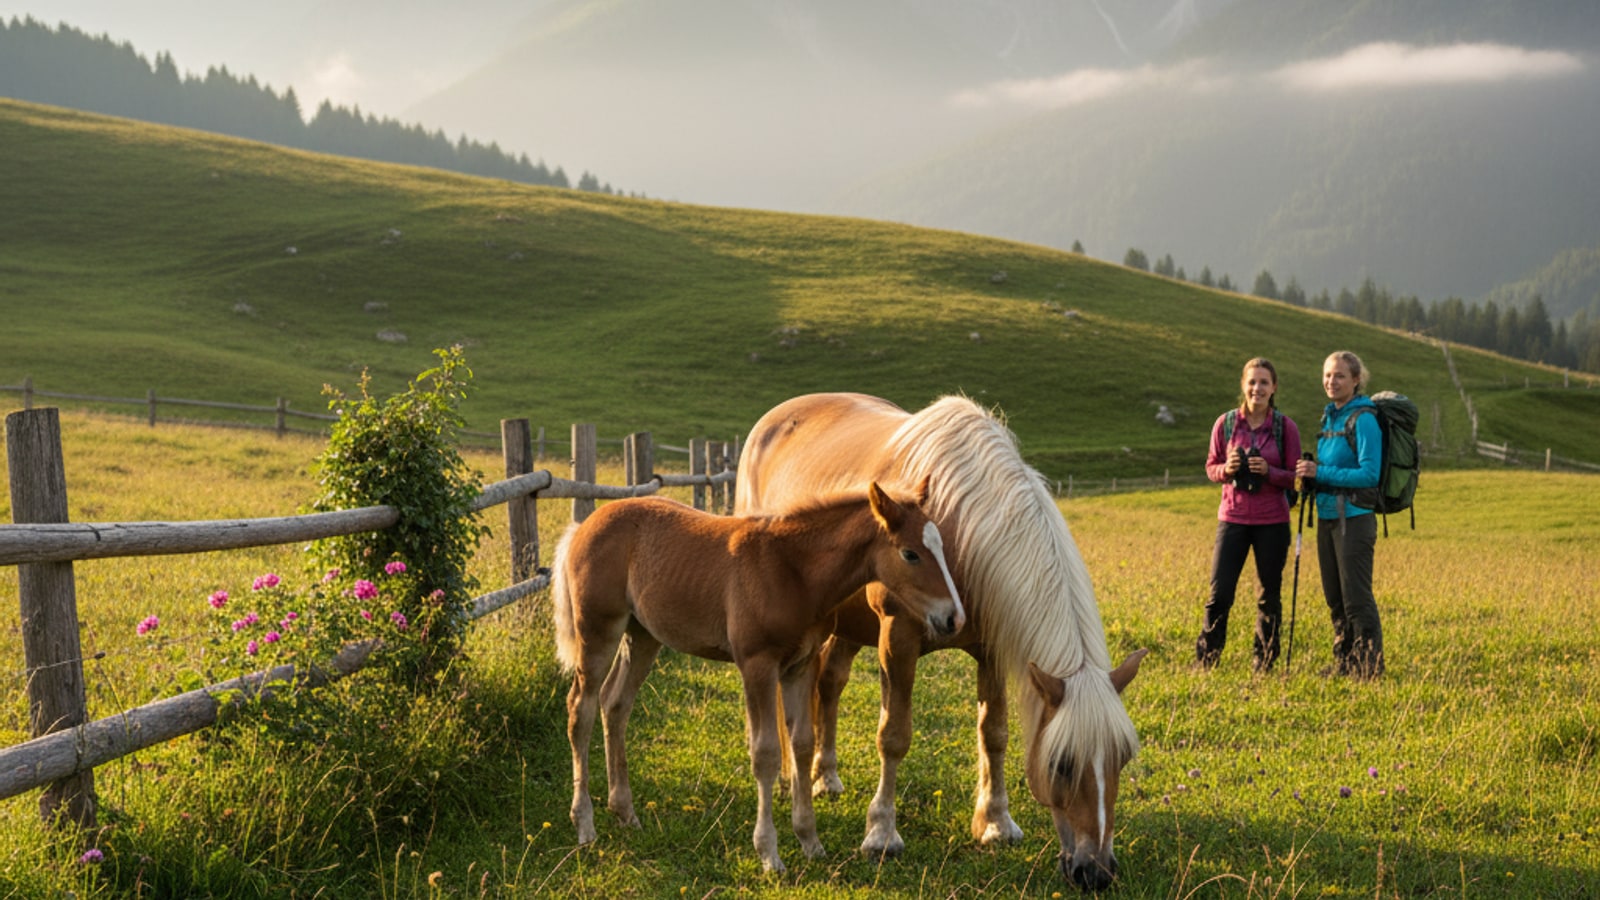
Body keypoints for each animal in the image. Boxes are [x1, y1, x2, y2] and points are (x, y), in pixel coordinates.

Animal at [551, 481, 965, 874]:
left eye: (942, 548)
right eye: (910, 553)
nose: (954, 618)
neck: (792, 571)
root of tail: (583, 526)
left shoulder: (801, 666)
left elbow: (802, 744)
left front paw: (810, 842)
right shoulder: (757, 665)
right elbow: (765, 753)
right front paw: (769, 854)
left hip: (642, 635)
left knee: (615, 704)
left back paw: (625, 813)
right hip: (598, 631)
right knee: (580, 710)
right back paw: (584, 824)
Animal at [735, 392, 1146, 891]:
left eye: (1121, 759)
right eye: (1062, 763)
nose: (1097, 872)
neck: (960, 532)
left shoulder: (990, 650)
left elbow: (995, 733)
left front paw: (995, 822)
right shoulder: (897, 639)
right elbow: (893, 736)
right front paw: (881, 833)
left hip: (846, 627)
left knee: (828, 684)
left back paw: (825, 777)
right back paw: (791, 780)